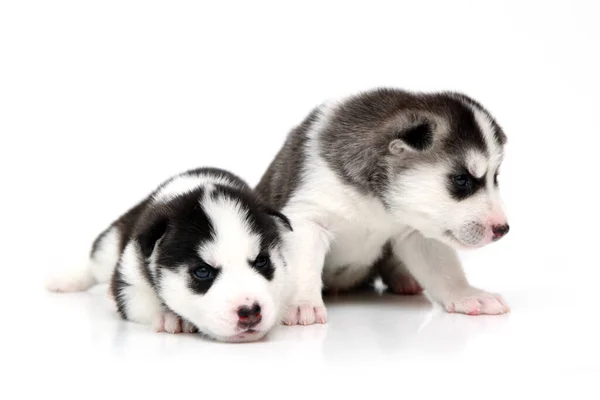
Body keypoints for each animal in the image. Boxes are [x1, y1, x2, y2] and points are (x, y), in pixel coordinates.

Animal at [45, 167, 294, 342]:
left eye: (262, 262)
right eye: (202, 272)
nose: (250, 312)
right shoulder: (128, 281)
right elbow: (140, 299)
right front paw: (171, 317)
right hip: (109, 247)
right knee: (94, 265)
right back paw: (66, 280)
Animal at [256, 87, 510, 324]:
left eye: (495, 177)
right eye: (462, 180)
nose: (503, 229)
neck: (377, 204)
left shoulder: (417, 231)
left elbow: (444, 270)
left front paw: (466, 294)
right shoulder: (306, 218)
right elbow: (302, 266)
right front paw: (300, 303)